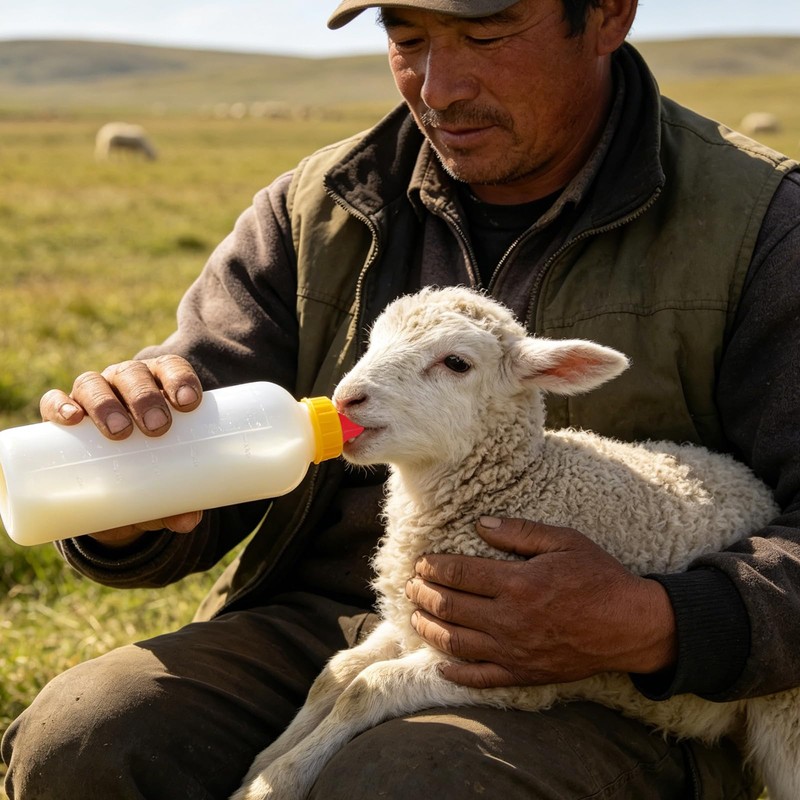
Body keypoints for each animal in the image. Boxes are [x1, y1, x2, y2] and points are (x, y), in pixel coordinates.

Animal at [232, 286, 798, 800]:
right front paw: (264, 763)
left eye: (456, 363)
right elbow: (337, 674)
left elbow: (368, 688)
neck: (519, 485)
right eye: (373, 340)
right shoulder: (412, 619)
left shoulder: (505, 666)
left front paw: (271, 785)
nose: (347, 399)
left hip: (784, 715)